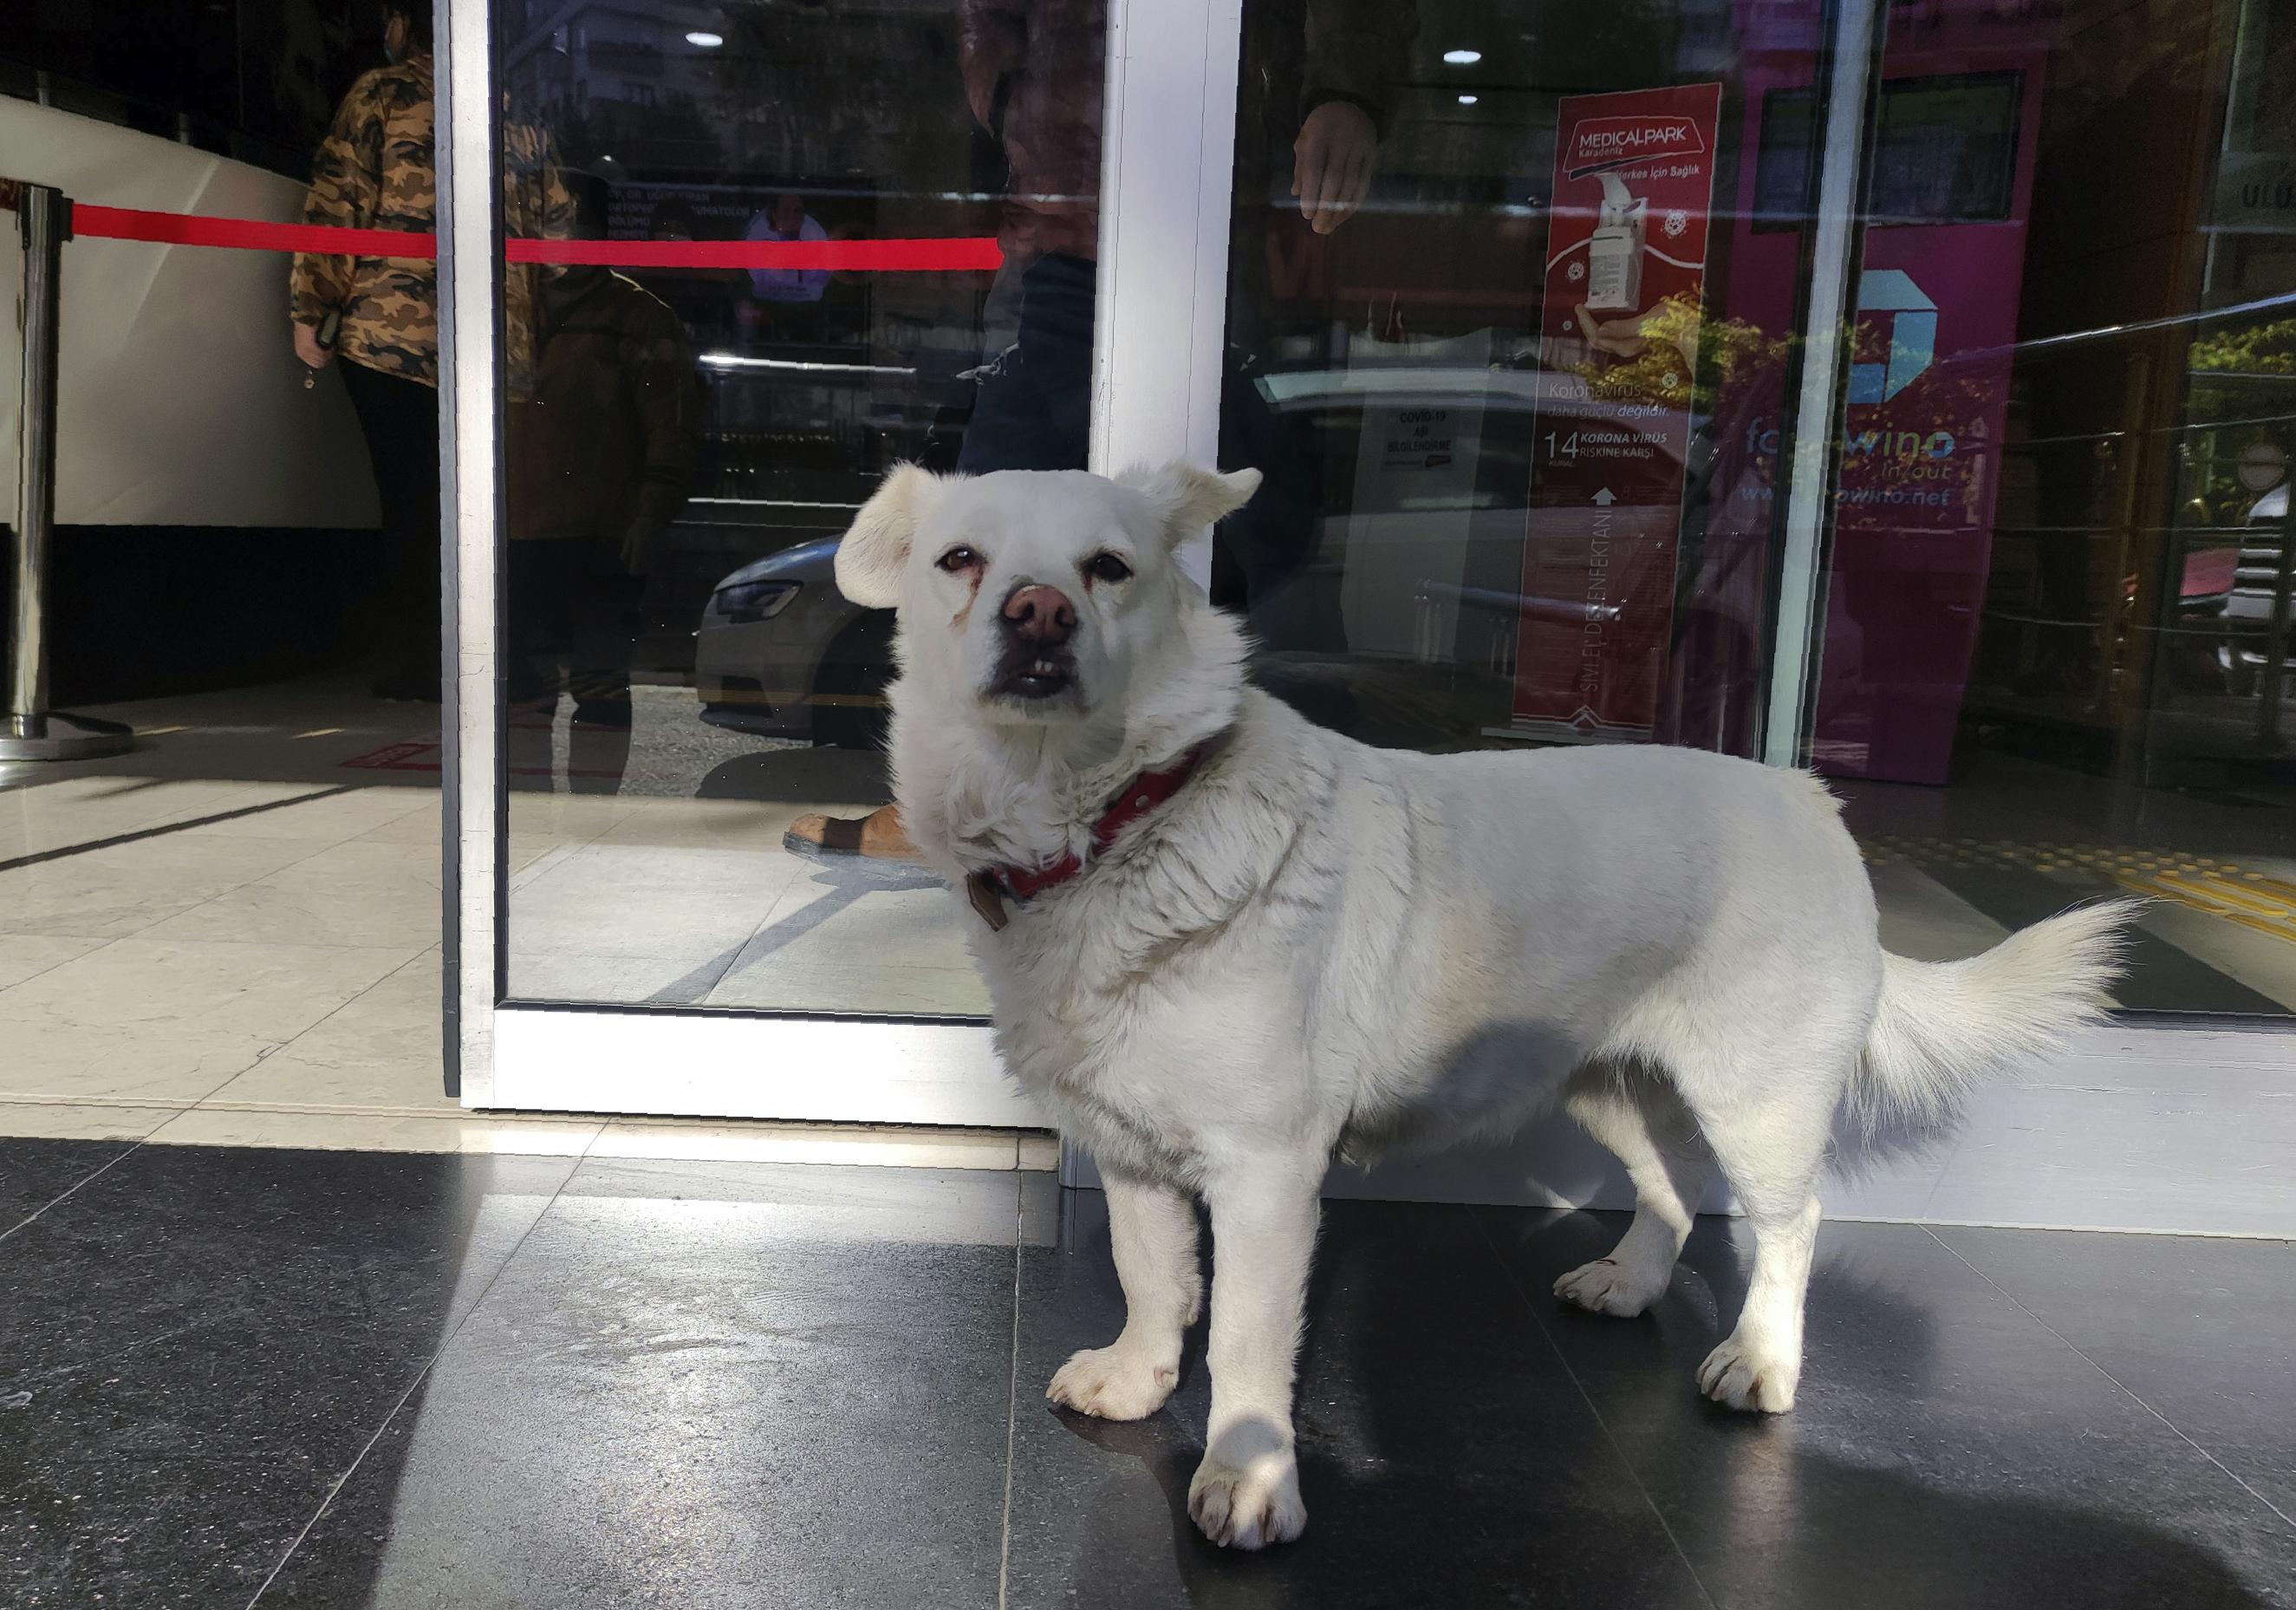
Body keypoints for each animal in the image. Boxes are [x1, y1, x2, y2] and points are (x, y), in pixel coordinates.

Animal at [840, 454, 2130, 1543]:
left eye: (1107, 569)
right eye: (961, 559)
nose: (1038, 615)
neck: (1109, 823)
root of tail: (1811, 797)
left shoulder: (1264, 1172)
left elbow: (1248, 1343)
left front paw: (1248, 1481)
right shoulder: (1132, 1148)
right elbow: (1154, 1277)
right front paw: (1138, 1376)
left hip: (1756, 1095)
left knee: (1787, 1224)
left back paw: (1761, 1361)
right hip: (1605, 1080)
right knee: (1673, 1188)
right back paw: (1629, 1282)